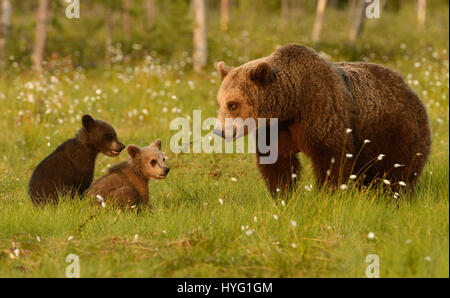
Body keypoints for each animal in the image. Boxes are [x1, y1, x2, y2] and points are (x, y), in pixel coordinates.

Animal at [214, 43, 432, 194]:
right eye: (220, 102)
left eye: (232, 104)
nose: (219, 131)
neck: (292, 104)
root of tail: (409, 88)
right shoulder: (277, 128)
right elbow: (278, 163)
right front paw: (283, 194)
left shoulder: (321, 111)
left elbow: (332, 157)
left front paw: (329, 193)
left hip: (394, 130)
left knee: (397, 170)